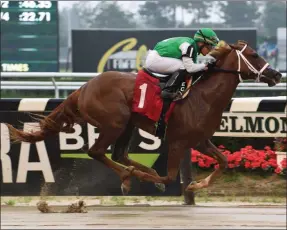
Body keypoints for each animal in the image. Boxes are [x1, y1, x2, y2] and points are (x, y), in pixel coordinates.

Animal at [6, 40, 282, 194]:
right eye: (255, 55)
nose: (277, 75)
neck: (202, 97)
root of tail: (84, 88)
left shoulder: (201, 141)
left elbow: (224, 161)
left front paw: (196, 185)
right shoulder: (178, 142)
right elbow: (169, 176)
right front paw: (153, 181)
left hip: (127, 125)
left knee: (119, 155)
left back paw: (131, 172)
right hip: (114, 123)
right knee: (97, 152)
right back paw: (127, 177)